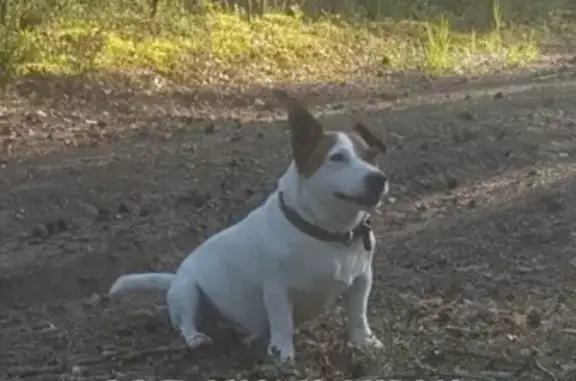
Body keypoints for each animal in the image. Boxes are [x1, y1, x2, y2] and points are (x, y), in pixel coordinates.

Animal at [108, 89, 388, 362]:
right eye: (337, 157)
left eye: (372, 156)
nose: (379, 178)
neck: (329, 232)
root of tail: (175, 276)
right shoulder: (276, 288)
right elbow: (281, 321)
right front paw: (283, 353)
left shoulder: (362, 280)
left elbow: (358, 313)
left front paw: (364, 341)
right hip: (187, 292)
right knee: (186, 324)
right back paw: (196, 338)